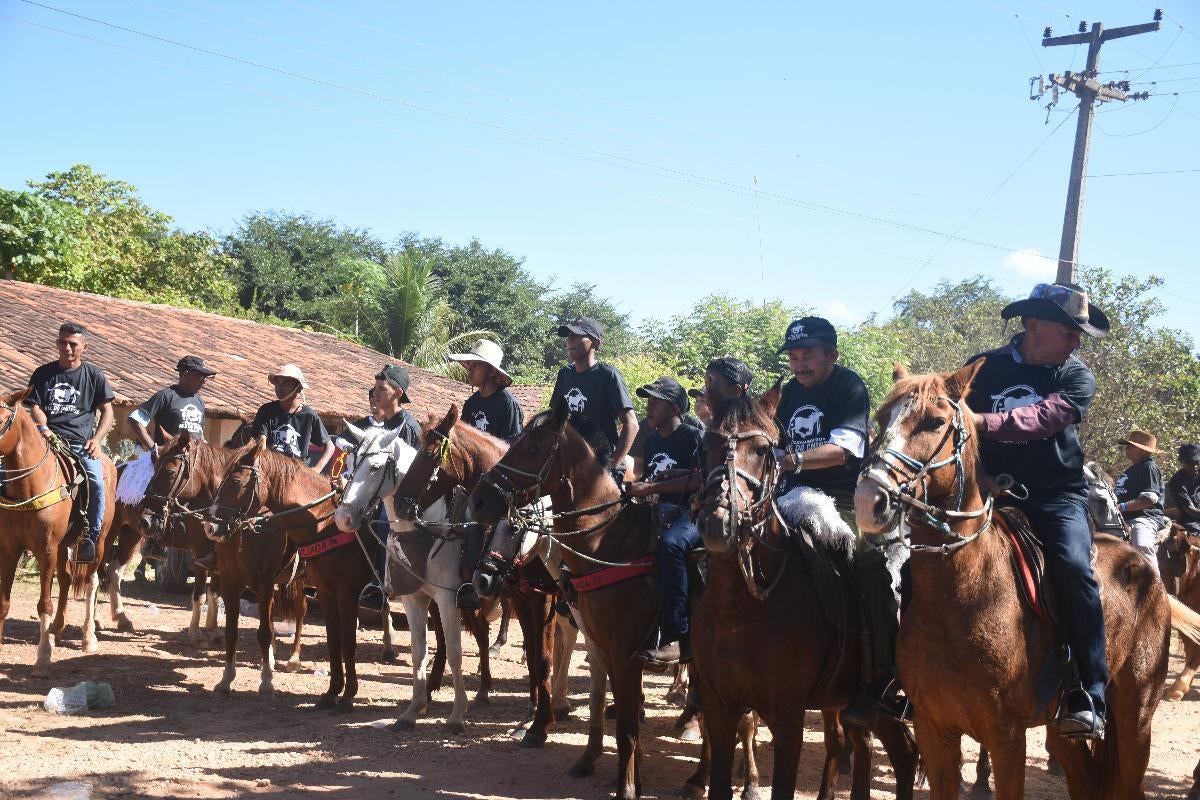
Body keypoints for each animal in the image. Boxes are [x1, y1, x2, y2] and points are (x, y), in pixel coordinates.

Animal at [0, 388, 116, 676]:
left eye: (3, 420)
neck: (30, 485)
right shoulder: (10, 549)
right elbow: (4, 602)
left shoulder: (46, 549)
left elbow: (44, 603)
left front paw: (42, 659)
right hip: (64, 545)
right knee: (64, 579)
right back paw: (56, 631)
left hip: (98, 541)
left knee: (91, 582)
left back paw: (88, 637)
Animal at [336, 429, 475, 734]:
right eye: (349, 464)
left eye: (374, 468)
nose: (342, 518)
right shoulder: (414, 598)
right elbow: (418, 651)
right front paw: (413, 710)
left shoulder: (448, 598)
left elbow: (456, 652)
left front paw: (457, 715)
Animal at [696, 383, 916, 796]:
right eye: (706, 447)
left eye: (763, 451)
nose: (719, 523)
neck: (742, 609)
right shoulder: (720, 706)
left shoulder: (787, 716)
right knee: (882, 749)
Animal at [849, 364, 1200, 800]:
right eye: (882, 419)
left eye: (935, 422)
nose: (869, 501)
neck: (961, 597)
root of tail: (1146, 568)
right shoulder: (934, 730)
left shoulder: (1006, 736)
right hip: (1063, 734)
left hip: (1136, 715)